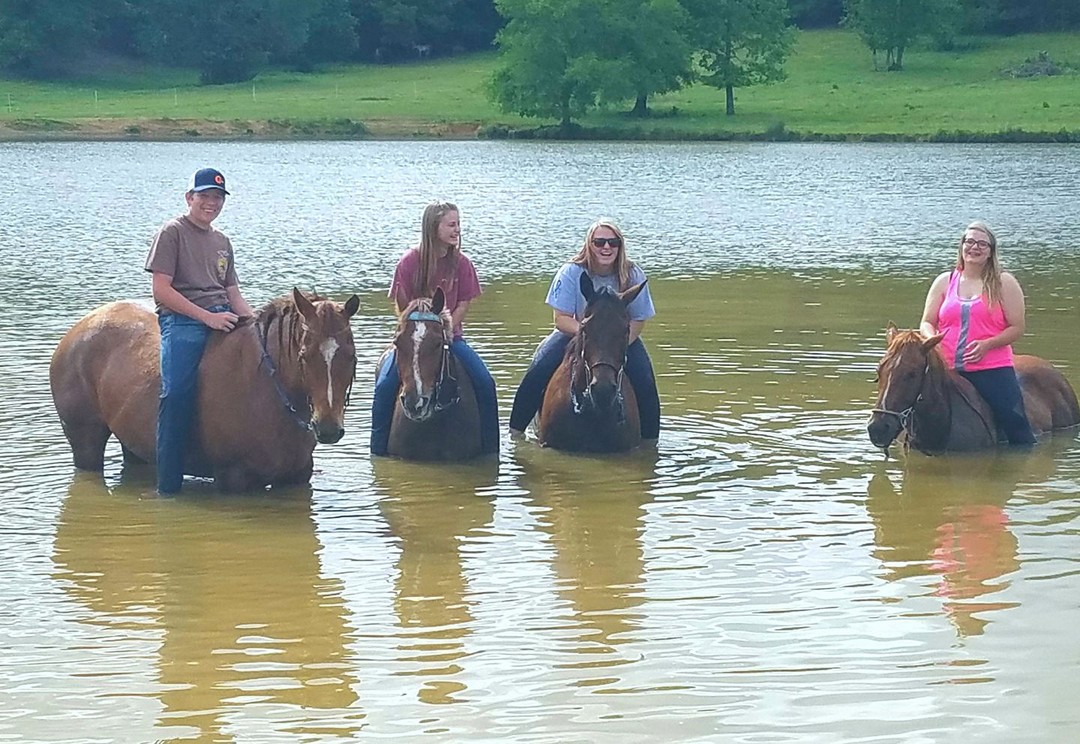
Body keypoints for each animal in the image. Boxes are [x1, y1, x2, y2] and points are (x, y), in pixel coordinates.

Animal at [49, 288, 360, 491]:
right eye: (304, 355)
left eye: (351, 356)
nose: (328, 429)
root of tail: (80, 329)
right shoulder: (235, 480)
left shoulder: (296, 479)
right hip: (85, 441)